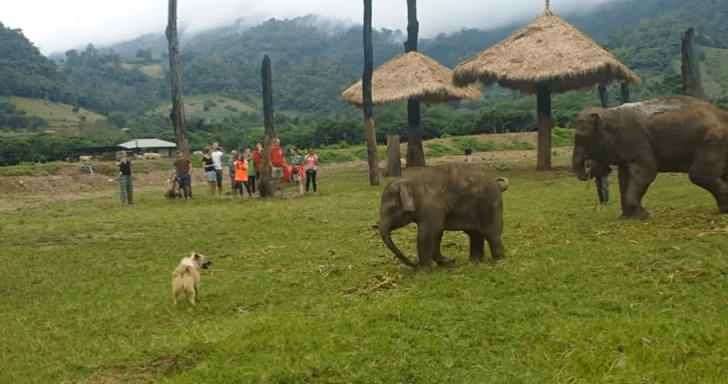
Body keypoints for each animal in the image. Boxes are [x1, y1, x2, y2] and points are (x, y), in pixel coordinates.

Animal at [378, 164, 510, 270]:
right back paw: (475, 262)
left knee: (491, 233)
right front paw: (447, 263)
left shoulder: (430, 207)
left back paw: (498, 261)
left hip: (489, 207)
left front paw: (423, 271)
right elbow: (436, 233)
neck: (410, 182)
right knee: (475, 234)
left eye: (390, 210)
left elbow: (427, 234)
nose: (414, 264)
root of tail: (497, 184)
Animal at [572, 94, 728, 218]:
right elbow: (624, 177)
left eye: (581, 137)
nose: (588, 169)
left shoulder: (633, 139)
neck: (609, 112)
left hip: (712, 142)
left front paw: (643, 216)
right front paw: (627, 217)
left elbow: (647, 170)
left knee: (699, 174)